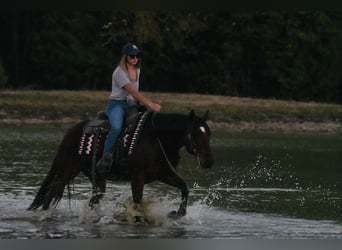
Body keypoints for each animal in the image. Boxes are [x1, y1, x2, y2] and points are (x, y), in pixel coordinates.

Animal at [27, 108, 214, 220]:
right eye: (195, 134)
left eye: (209, 133)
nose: (208, 161)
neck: (156, 138)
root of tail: (70, 132)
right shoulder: (137, 177)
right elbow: (138, 202)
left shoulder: (164, 173)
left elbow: (184, 187)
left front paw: (177, 213)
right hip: (67, 169)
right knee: (51, 192)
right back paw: (44, 215)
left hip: (96, 177)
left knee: (93, 199)